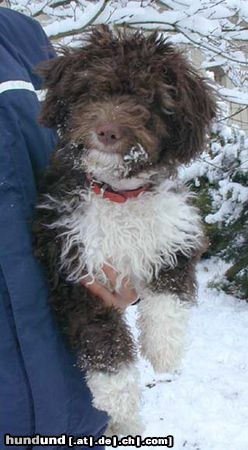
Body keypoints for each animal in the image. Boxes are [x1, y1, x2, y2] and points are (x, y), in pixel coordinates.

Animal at [33, 25, 217, 436]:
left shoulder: (177, 235)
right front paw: (120, 396)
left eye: (149, 98)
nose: (107, 131)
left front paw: (164, 348)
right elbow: (102, 338)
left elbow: (170, 291)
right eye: (93, 88)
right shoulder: (76, 269)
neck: (119, 195)